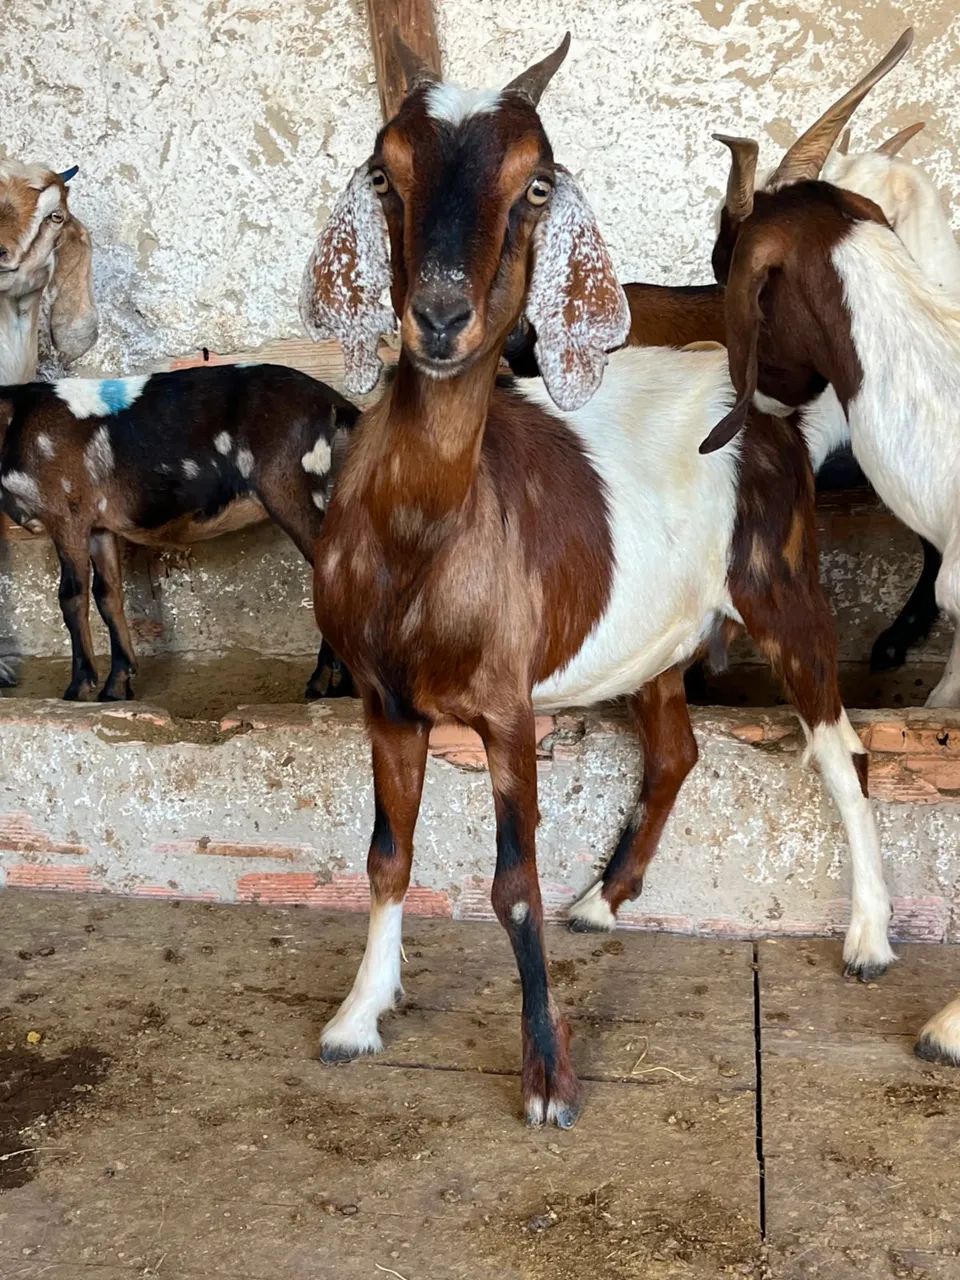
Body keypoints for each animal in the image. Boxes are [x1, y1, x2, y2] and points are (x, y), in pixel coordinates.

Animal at [0, 364, 357, 701]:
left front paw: (78, 688)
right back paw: (343, 684)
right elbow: (108, 594)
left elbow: (72, 595)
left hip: (289, 487)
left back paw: (324, 682)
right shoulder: (98, 525)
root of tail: (329, 399)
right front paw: (116, 686)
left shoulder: (67, 514)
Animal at [300, 33, 892, 1126]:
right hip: (653, 636)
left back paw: (869, 937)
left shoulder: (505, 706)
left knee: (841, 748)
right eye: (384, 173)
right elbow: (387, 855)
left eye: (534, 183)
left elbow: (512, 884)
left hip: (784, 588)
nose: (440, 317)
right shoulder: (384, 701)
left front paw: (547, 1081)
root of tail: (767, 406)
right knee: (675, 748)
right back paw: (604, 901)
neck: (422, 535)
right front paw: (359, 1015)